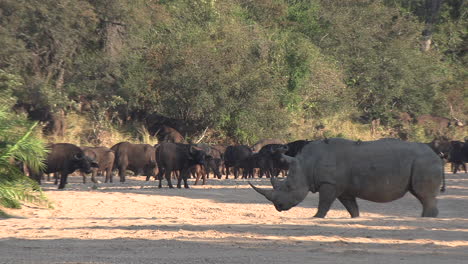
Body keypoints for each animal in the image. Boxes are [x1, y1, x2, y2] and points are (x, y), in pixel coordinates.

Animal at [250, 138, 444, 219]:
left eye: (289, 187)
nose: (278, 207)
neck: (305, 165)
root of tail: (438, 156)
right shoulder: (342, 187)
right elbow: (351, 207)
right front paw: (355, 218)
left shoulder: (329, 183)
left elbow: (324, 203)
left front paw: (316, 217)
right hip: (422, 162)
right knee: (423, 196)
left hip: (424, 162)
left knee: (424, 196)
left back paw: (426, 219)